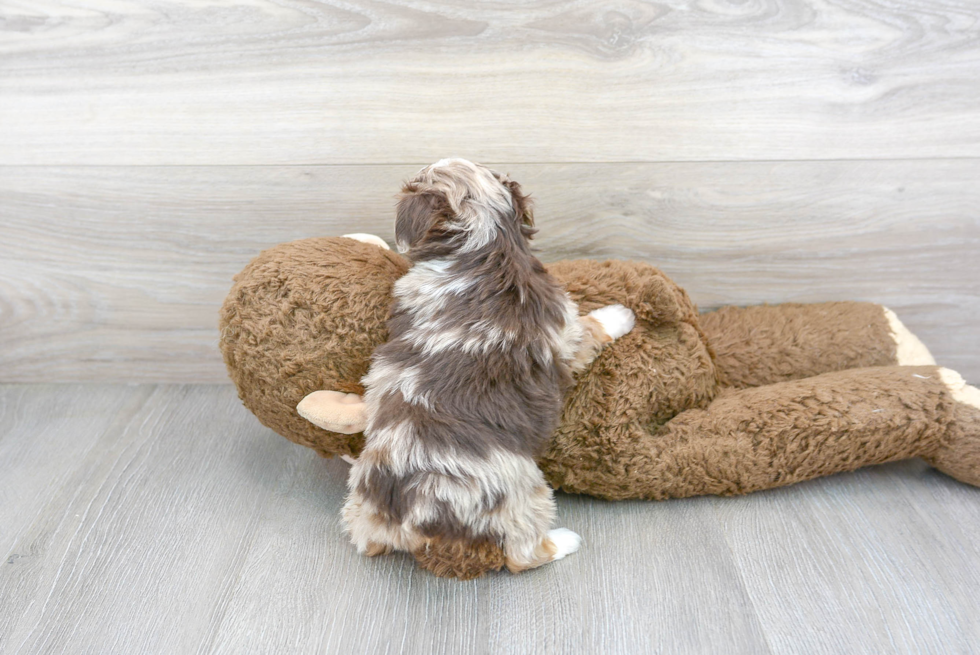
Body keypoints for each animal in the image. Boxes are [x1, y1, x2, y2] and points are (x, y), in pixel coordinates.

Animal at [342, 159, 636, 580]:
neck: (486, 243)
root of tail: (411, 522)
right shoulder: (565, 331)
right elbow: (594, 327)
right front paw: (622, 314)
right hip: (523, 493)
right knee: (522, 555)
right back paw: (565, 540)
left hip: (359, 511)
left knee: (366, 544)